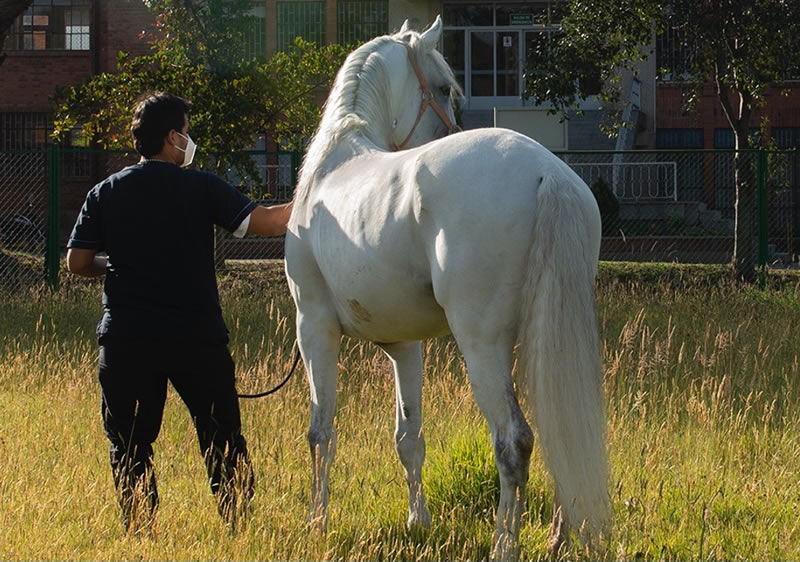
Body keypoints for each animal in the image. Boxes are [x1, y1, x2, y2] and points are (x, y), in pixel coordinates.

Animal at [284, 16, 608, 556]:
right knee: (563, 424)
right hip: (551, 332)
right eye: (440, 87)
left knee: (514, 440)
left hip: (482, 345)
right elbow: (408, 437)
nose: (452, 127)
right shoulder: (404, 345)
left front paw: (317, 523)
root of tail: (548, 172)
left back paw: (504, 546)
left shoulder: (314, 328)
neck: (337, 161)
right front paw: (419, 522)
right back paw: (557, 541)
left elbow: (320, 432)